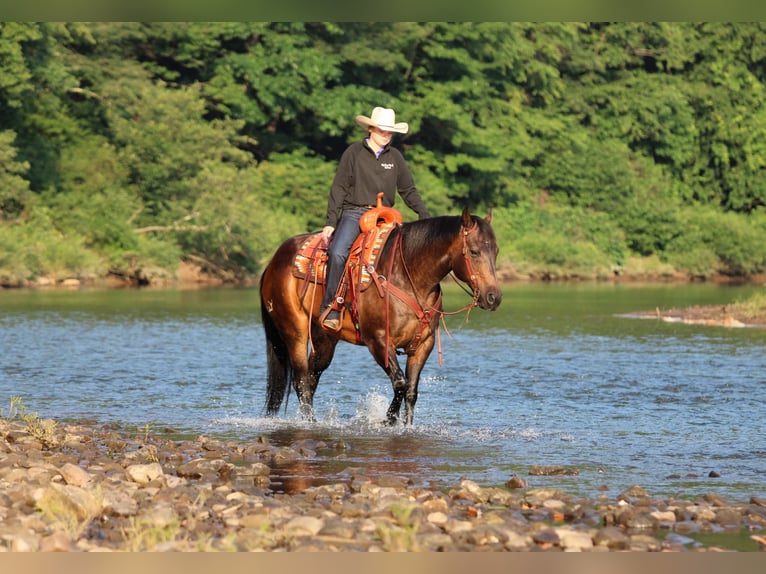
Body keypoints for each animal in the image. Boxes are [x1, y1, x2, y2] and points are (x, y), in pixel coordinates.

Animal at [259, 206, 502, 425]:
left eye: (496, 251)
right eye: (474, 251)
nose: (494, 297)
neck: (406, 276)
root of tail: (273, 263)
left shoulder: (424, 344)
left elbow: (411, 391)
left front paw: (406, 426)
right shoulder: (378, 341)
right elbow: (400, 383)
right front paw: (388, 420)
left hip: (324, 339)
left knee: (311, 377)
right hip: (295, 333)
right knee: (301, 379)